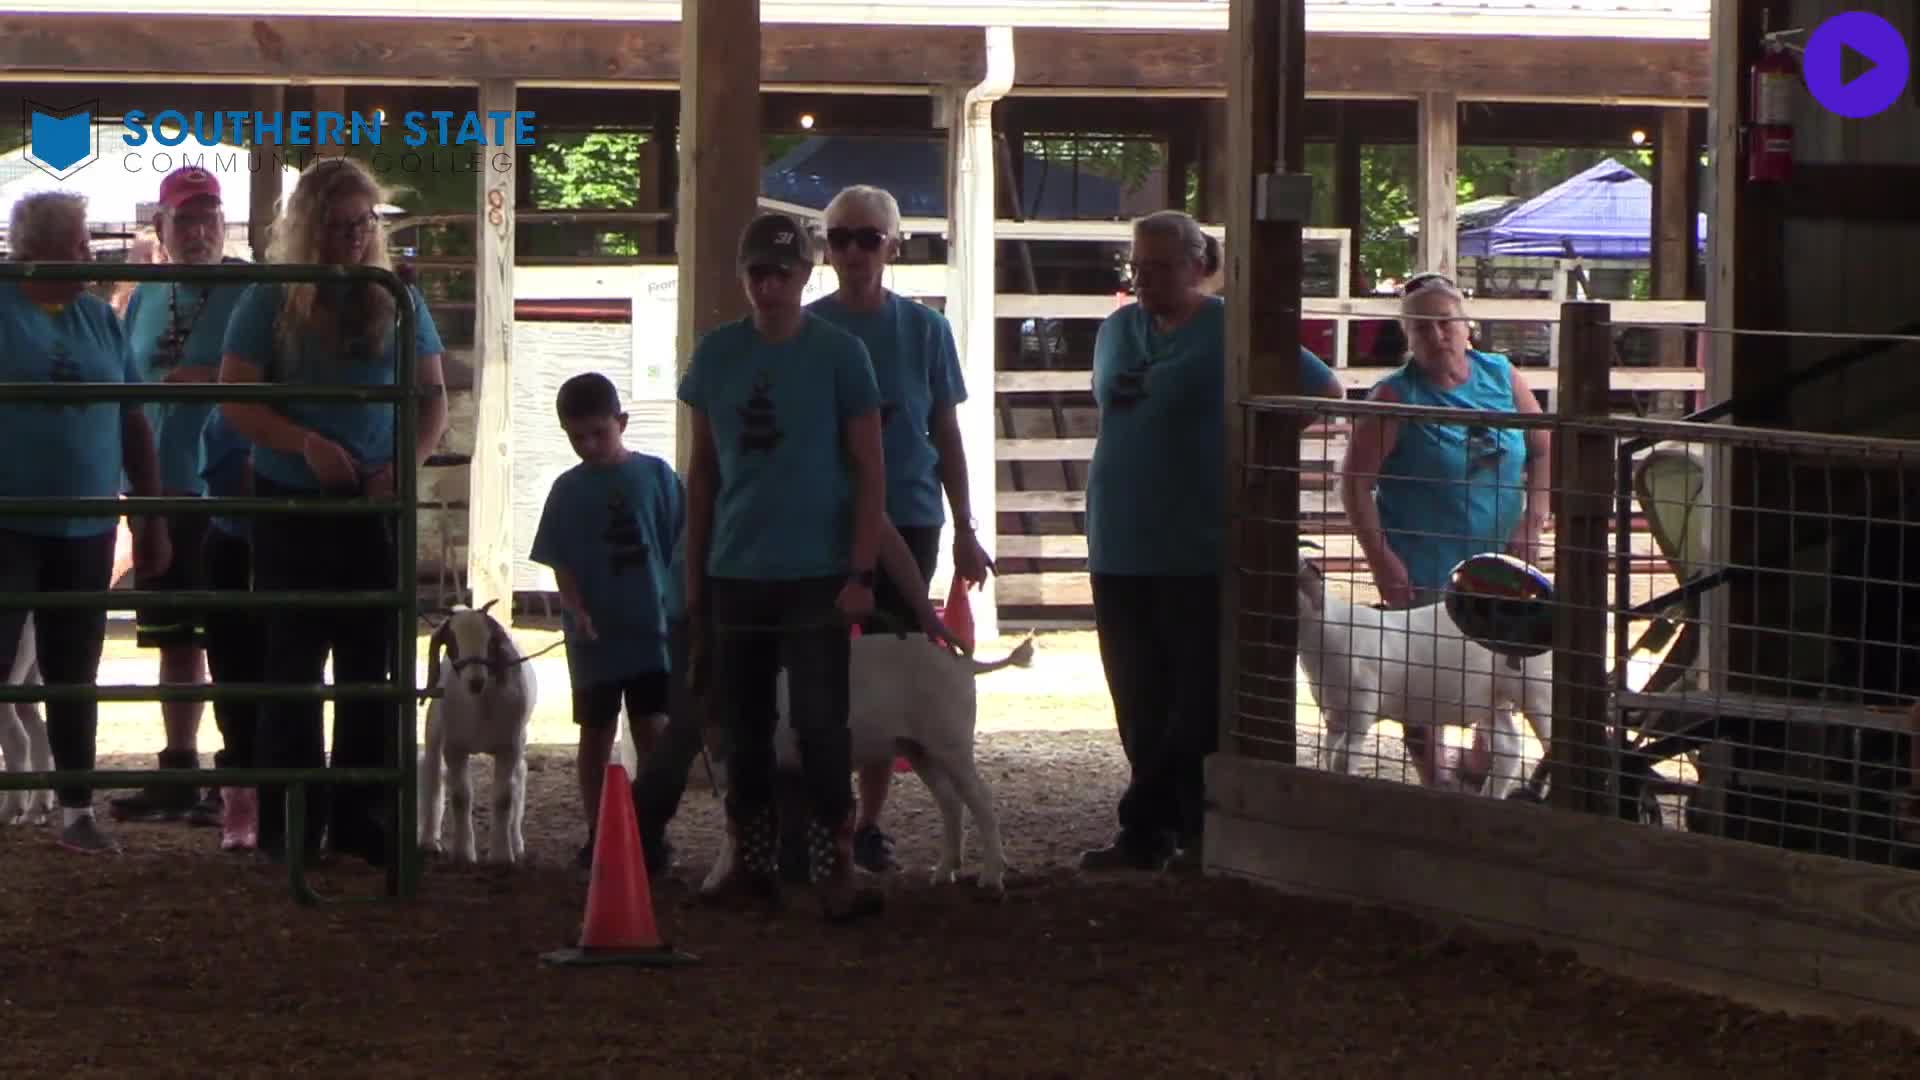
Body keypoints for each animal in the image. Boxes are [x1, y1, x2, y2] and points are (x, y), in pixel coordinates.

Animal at [418, 599, 537, 860]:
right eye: (451, 641)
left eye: (491, 641)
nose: (475, 681)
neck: (480, 705)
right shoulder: (455, 747)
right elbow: (461, 797)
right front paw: (464, 853)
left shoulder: (509, 746)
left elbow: (504, 798)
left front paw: (502, 855)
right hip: (436, 728)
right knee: (432, 772)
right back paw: (429, 841)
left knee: (519, 776)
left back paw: (516, 841)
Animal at [683, 626, 1029, 887]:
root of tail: (963, 664)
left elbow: (736, 823)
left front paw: (711, 883)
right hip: (918, 748)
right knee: (950, 801)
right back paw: (943, 874)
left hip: (951, 739)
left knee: (980, 798)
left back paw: (990, 879)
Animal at [1290, 553, 1543, 791]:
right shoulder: (1332, 711)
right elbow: (1329, 752)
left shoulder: (1362, 704)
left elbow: (1344, 756)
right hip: (1493, 698)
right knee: (1508, 748)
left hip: (1536, 690)